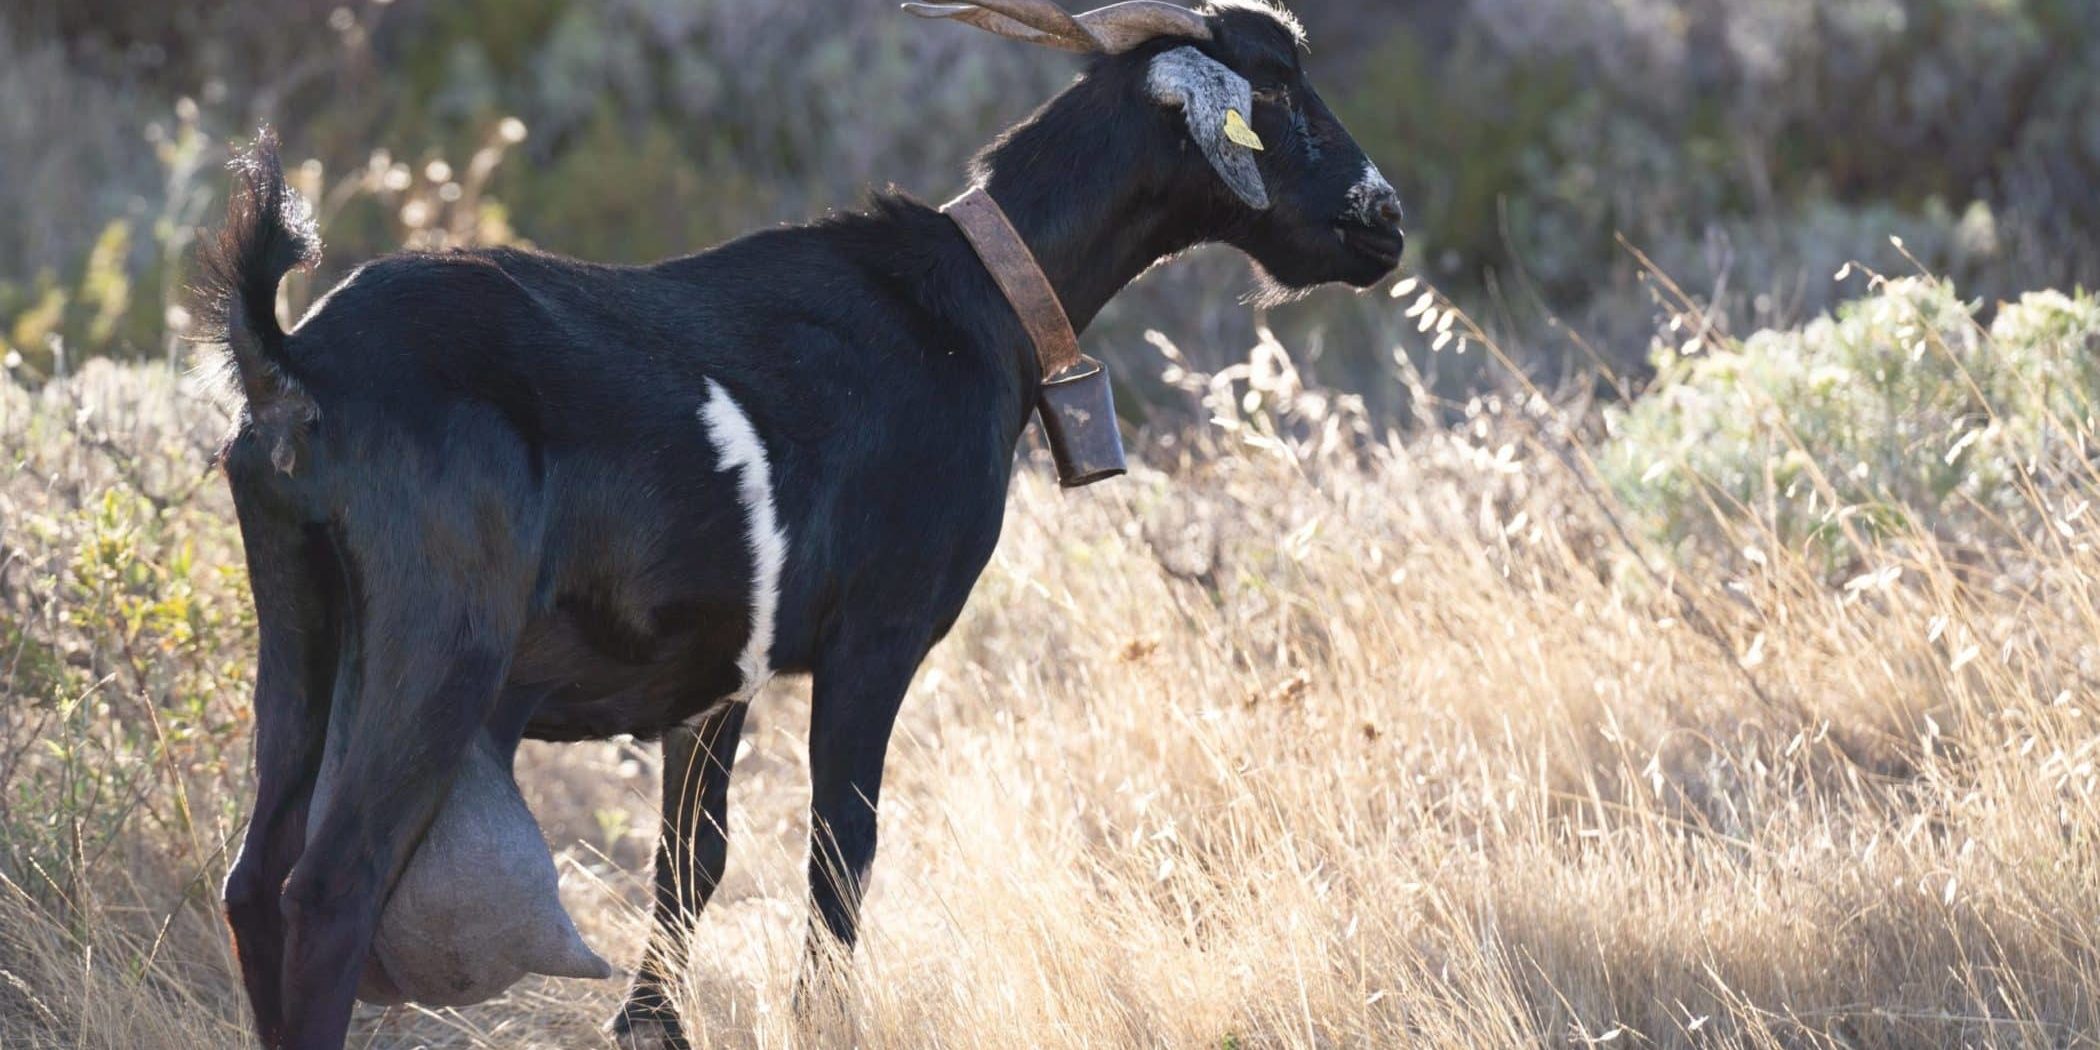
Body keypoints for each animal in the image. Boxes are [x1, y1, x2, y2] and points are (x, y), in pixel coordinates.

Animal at [202, 1, 1403, 1047]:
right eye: (1277, 90)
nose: (1382, 219)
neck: (978, 305)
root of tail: (294, 363)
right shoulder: (879, 633)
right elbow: (841, 846)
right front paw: (821, 1019)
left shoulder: (717, 673)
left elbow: (693, 860)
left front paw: (651, 1024)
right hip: (441, 637)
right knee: (333, 885)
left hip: (301, 621)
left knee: (255, 879)